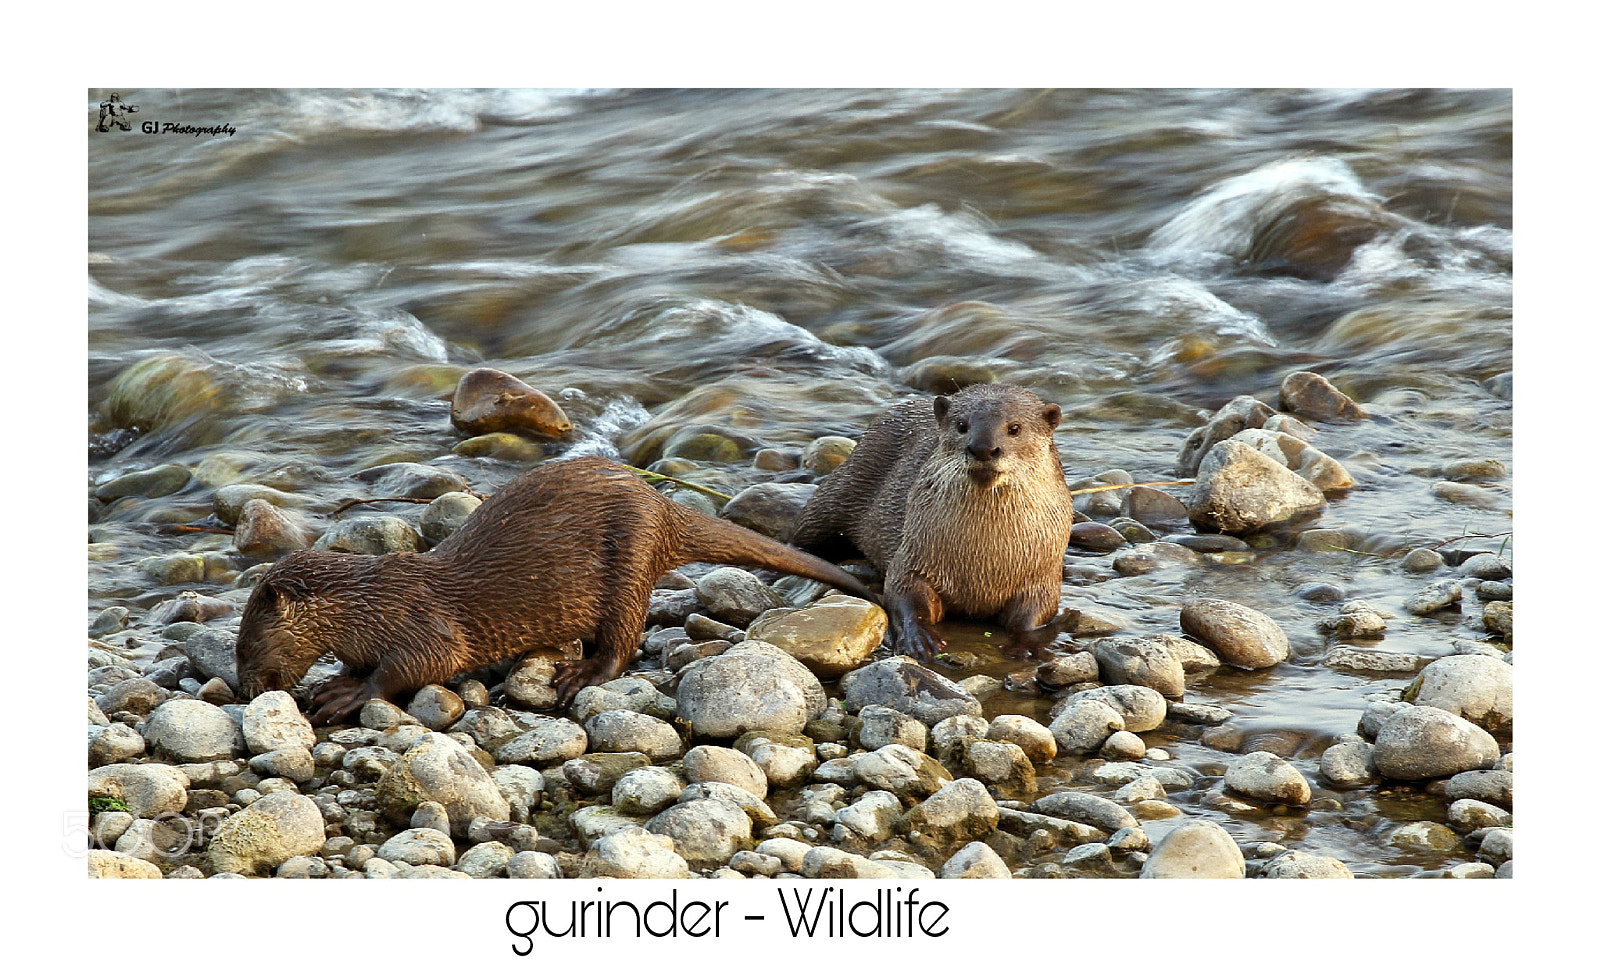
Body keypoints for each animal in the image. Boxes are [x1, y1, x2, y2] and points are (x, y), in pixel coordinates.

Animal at [235, 456, 878, 723]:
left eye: (245, 649)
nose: (244, 690)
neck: (370, 607)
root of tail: (661, 504)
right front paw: (337, 679)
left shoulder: (421, 621)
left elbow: (418, 664)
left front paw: (349, 693)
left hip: (631, 554)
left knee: (624, 638)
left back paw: (581, 674)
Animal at [790, 384, 1072, 661]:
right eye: (961, 425)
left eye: (1014, 428)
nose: (982, 448)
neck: (983, 561)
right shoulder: (912, 558)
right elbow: (904, 594)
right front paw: (919, 638)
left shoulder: (1042, 577)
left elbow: (1035, 614)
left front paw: (1026, 643)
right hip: (840, 491)